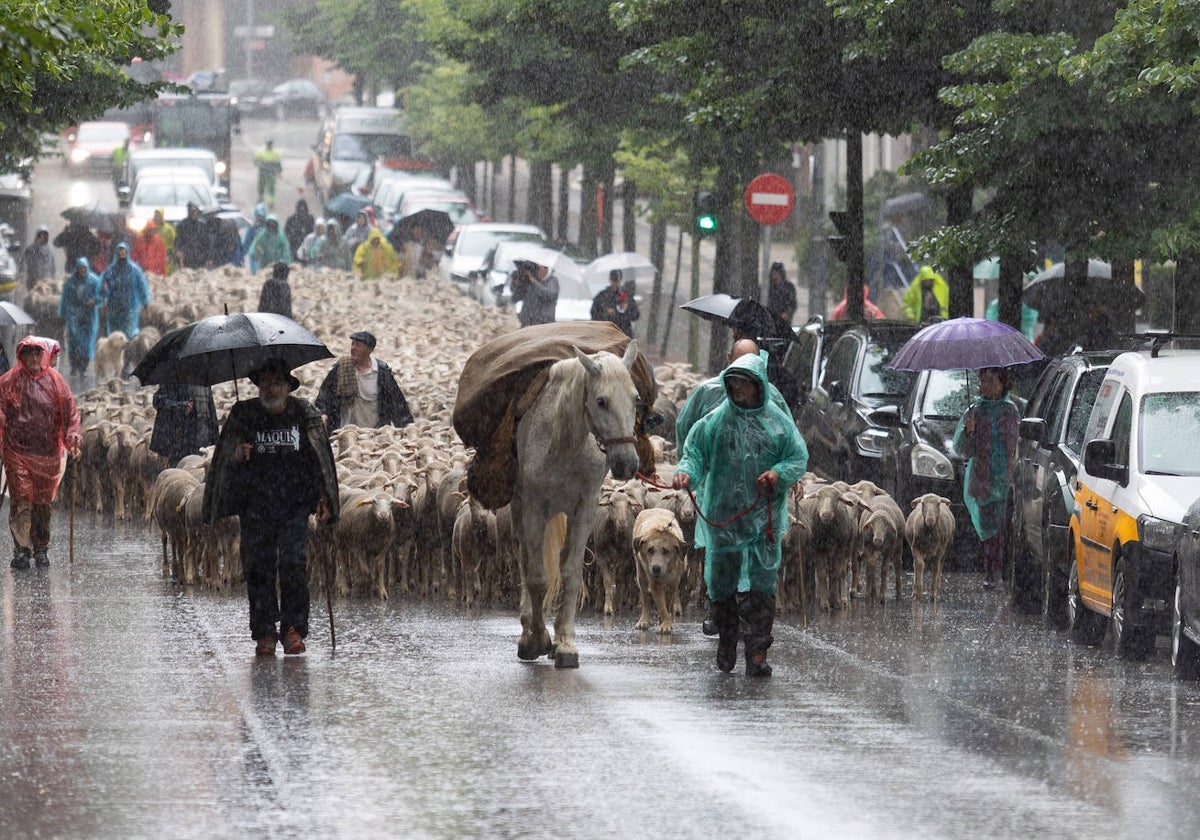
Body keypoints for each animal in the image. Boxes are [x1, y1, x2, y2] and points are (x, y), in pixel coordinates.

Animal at [516, 340, 648, 667]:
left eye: (636, 399)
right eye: (601, 401)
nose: (627, 464)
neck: (563, 448)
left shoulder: (584, 510)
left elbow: (571, 573)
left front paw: (564, 644)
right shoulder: (533, 508)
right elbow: (537, 577)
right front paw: (538, 639)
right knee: (525, 563)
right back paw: (527, 634)